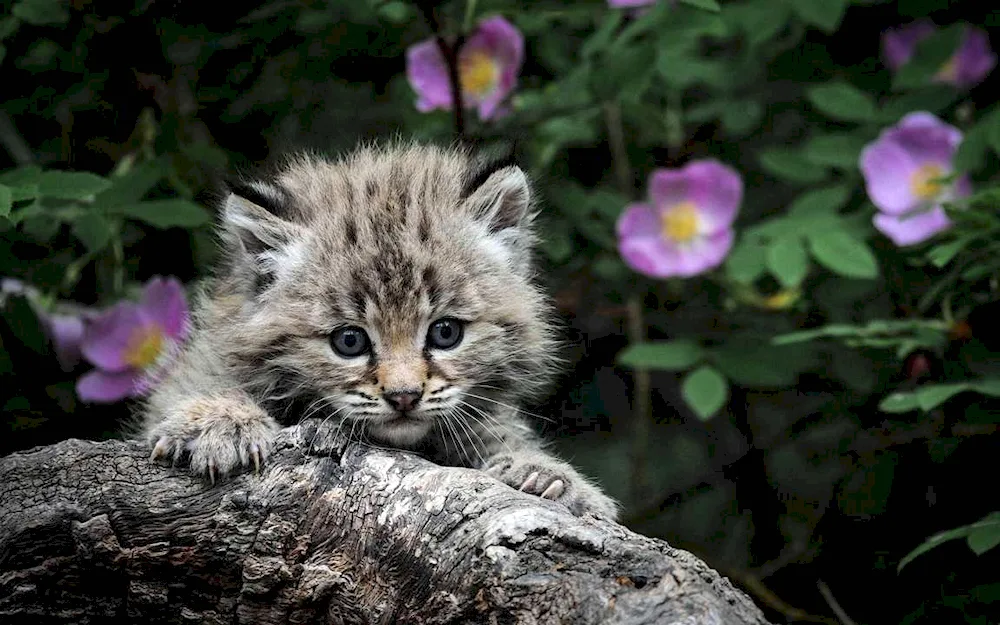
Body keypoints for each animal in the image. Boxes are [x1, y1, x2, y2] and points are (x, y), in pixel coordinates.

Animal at [141, 141, 616, 516]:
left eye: (446, 333)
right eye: (348, 341)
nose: (404, 397)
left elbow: (498, 432)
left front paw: (545, 476)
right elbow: (202, 383)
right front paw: (219, 422)